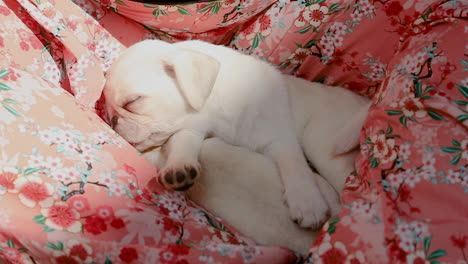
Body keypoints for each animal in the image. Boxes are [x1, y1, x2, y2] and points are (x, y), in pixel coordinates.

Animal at [104, 39, 372, 229]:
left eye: (133, 102)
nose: (113, 120)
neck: (215, 112)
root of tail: (365, 103)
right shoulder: (193, 129)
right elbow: (182, 143)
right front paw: (178, 168)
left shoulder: (278, 138)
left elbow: (294, 165)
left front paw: (307, 202)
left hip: (324, 148)